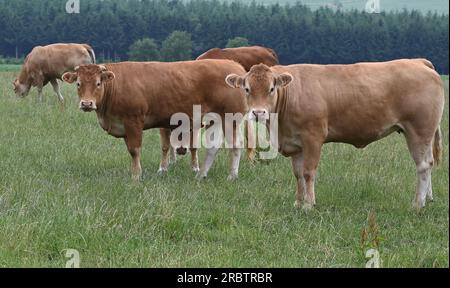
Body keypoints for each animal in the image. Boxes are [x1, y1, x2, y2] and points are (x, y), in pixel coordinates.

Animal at [61, 60, 248, 181]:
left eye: (98, 83)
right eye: (78, 83)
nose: (86, 103)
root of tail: (235, 65)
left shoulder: (133, 121)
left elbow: (135, 150)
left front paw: (136, 175)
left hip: (230, 118)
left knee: (235, 144)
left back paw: (232, 175)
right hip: (215, 120)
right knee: (213, 147)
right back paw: (201, 174)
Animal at [227, 59, 444, 210]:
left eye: (271, 89)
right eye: (247, 89)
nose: (258, 112)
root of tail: (418, 62)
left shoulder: (313, 137)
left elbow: (308, 172)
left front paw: (308, 205)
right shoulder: (295, 143)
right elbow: (298, 174)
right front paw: (298, 202)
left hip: (419, 130)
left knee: (423, 166)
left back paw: (417, 204)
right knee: (429, 163)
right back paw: (427, 199)